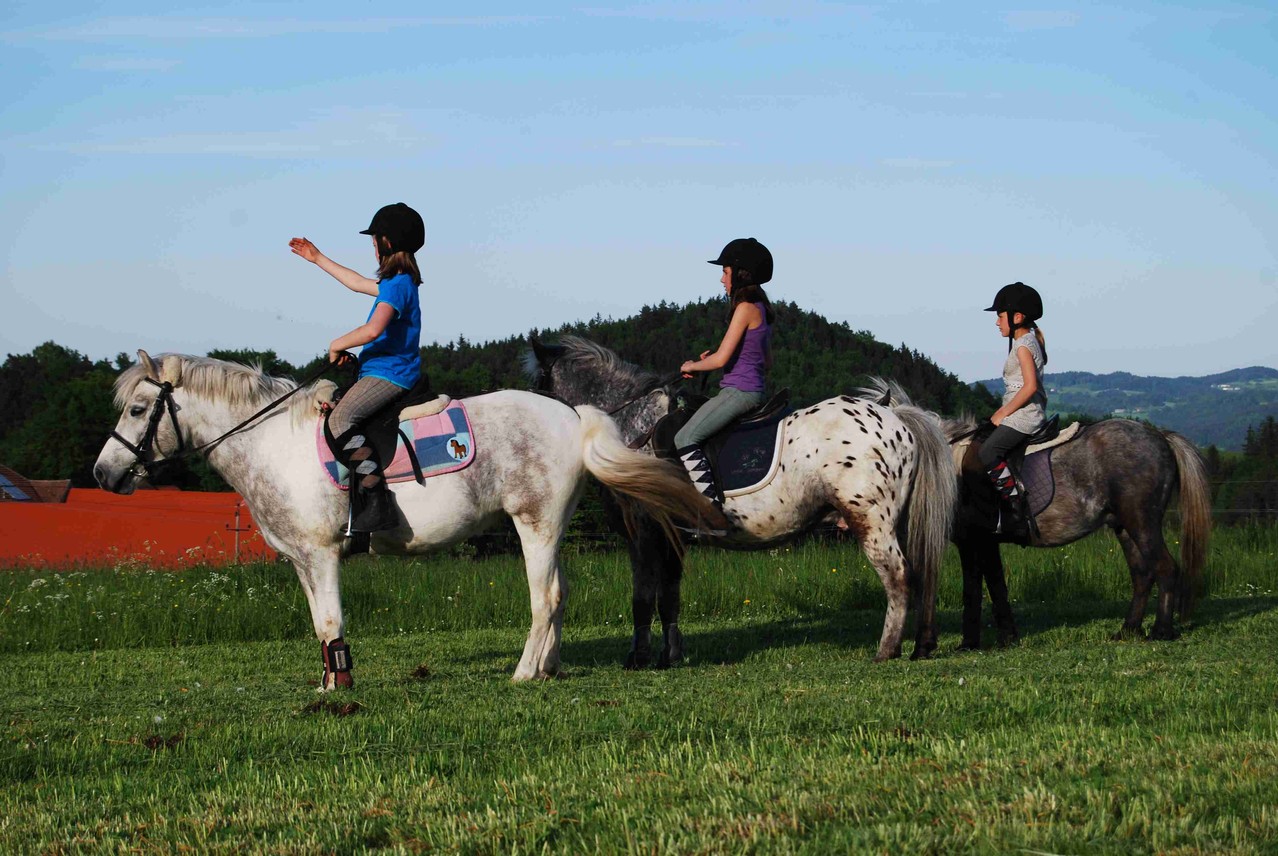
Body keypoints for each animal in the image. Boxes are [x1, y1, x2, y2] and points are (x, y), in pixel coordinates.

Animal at [94, 352, 725, 695]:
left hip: (535, 523)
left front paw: (341, 688)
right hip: (551, 527)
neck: (274, 445)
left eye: (137, 409)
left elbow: (331, 621)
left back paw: (524, 673)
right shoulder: (301, 560)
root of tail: (574, 414)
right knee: (560, 594)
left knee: (543, 597)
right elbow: (318, 626)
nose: (103, 473)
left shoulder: (321, 555)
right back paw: (548, 668)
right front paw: (327, 682)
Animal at [523, 339, 955, 669]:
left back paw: (886, 650)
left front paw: (638, 659)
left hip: (871, 520)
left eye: (538, 382)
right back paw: (922, 645)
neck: (631, 429)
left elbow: (643, 597)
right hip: (899, 521)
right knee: (921, 572)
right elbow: (669, 597)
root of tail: (894, 416)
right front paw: (670, 656)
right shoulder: (671, 537)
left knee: (897, 576)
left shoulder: (644, 533)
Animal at [869, 383, 1206, 651]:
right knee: (1142, 573)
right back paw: (1127, 629)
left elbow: (978, 589)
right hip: (1124, 526)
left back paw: (1161, 630)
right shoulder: (980, 543)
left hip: (1142, 522)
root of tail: (1159, 435)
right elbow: (989, 587)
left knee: (1165, 568)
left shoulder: (976, 541)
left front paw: (980, 641)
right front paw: (994, 639)